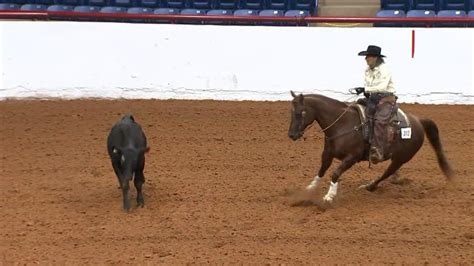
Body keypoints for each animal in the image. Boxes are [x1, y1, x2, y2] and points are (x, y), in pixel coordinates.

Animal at [286, 90, 454, 203]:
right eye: (291, 111)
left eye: (302, 112)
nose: (292, 135)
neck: (342, 124)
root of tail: (418, 121)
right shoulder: (327, 153)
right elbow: (321, 170)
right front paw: (309, 189)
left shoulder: (351, 158)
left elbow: (335, 173)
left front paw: (329, 196)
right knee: (391, 172)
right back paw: (395, 180)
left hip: (401, 158)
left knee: (386, 172)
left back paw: (370, 186)